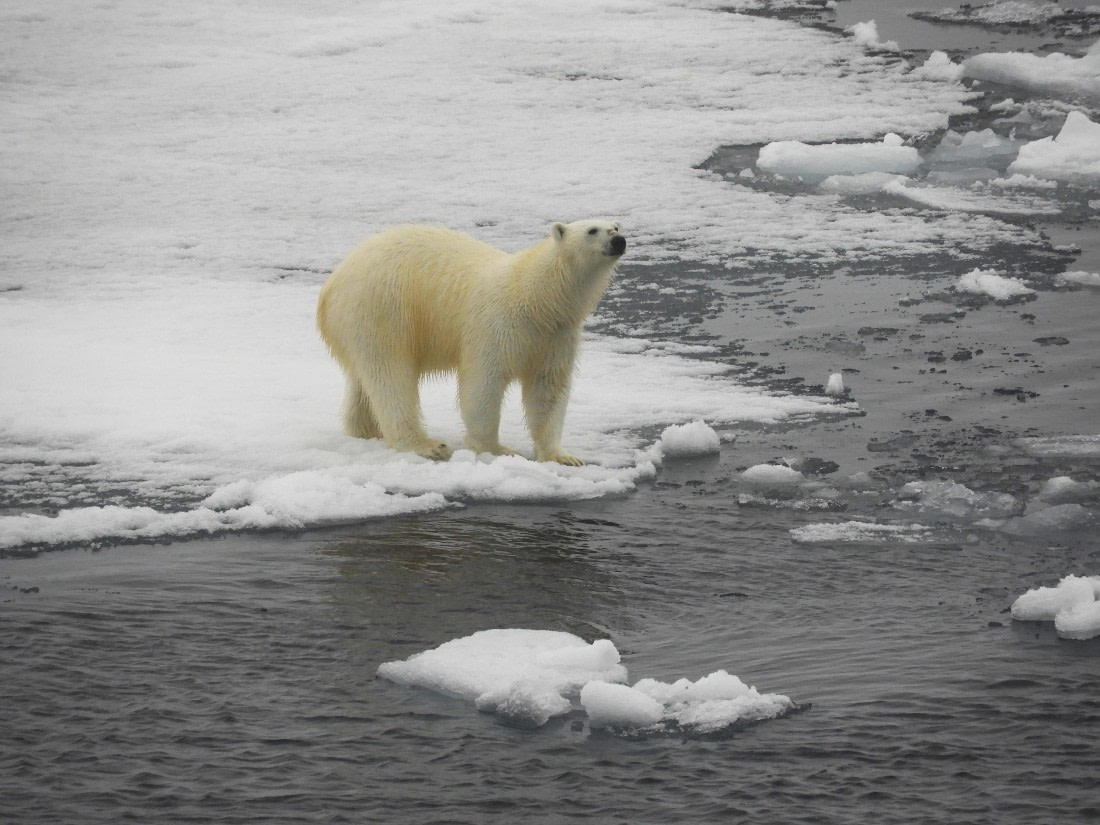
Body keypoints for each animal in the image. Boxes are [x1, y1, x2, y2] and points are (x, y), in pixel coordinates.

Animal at [316, 219, 626, 465]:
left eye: (617, 225)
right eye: (592, 230)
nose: (618, 240)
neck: (536, 298)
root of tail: (330, 286)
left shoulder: (555, 337)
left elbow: (547, 390)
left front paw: (563, 456)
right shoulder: (497, 325)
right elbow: (483, 384)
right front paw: (498, 449)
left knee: (364, 381)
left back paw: (365, 431)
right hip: (382, 307)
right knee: (391, 376)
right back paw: (429, 445)